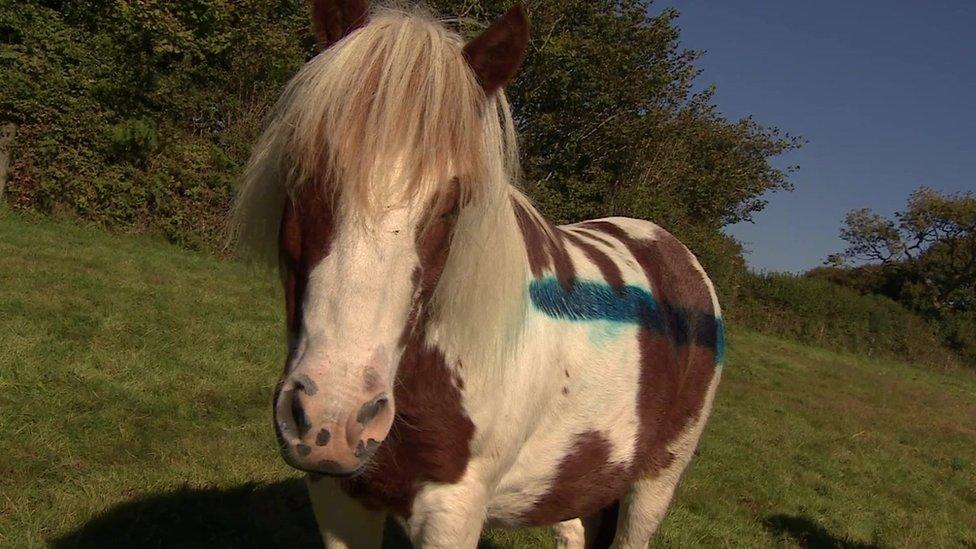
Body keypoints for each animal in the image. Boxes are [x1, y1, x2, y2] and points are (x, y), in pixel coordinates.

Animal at [233, 2, 720, 544]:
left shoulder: (452, 511)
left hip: (656, 481)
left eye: (450, 204)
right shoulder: (338, 498)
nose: (332, 421)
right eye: (306, 169)